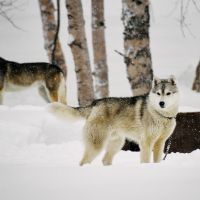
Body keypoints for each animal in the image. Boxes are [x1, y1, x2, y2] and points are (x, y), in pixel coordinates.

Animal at [48, 76, 180, 165]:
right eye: (158, 93)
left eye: (168, 93)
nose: (161, 103)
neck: (161, 115)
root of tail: (95, 103)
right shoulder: (146, 142)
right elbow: (146, 160)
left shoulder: (160, 142)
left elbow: (157, 161)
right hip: (98, 145)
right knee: (83, 162)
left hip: (117, 143)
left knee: (105, 160)